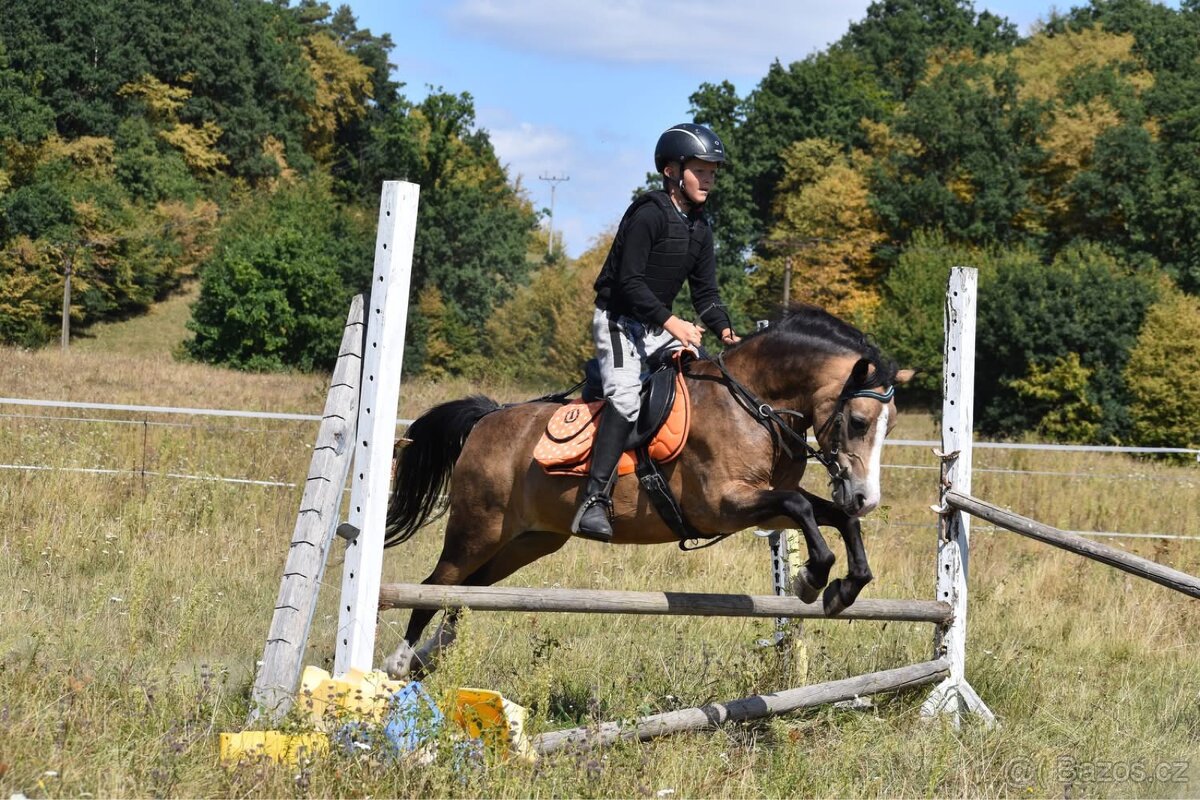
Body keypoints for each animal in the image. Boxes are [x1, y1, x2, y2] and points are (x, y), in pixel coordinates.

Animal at [381, 304, 913, 678]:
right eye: (859, 421)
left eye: (890, 427)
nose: (866, 498)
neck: (754, 404)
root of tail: (488, 418)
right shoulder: (723, 505)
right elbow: (802, 505)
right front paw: (811, 579)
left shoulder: (761, 504)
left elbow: (833, 517)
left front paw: (844, 587)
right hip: (477, 529)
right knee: (434, 586)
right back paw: (399, 662)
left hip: (527, 541)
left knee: (463, 591)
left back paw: (430, 656)